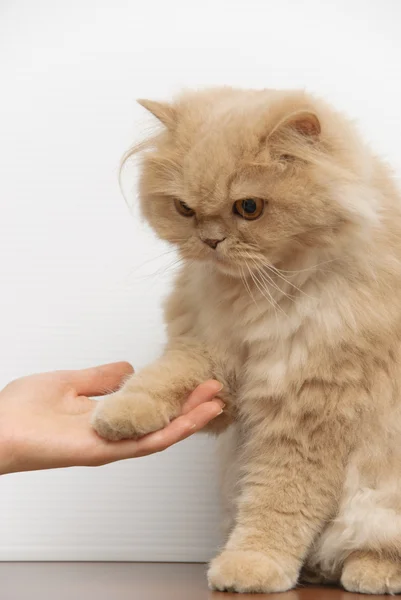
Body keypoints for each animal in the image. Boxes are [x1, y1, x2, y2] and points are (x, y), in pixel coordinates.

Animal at [91, 86, 401, 592]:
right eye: (184, 209)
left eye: (248, 208)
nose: (210, 241)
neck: (261, 298)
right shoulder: (213, 350)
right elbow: (164, 376)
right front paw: (121, 413)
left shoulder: (309, 411)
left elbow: (278, 504)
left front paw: (250, 567)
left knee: (369, 535)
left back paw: (371, 571)